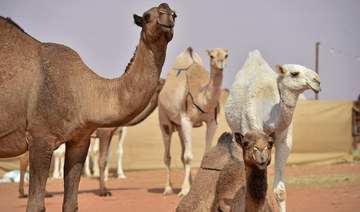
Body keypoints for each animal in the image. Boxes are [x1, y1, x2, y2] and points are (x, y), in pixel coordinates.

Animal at [0, 2, 176, 211]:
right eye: (147, 16)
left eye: (174, 14)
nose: (167, 16)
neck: (85, 94)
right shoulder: (41, 136)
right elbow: (100, 161)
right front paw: (104, 191)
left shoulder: (80, 138)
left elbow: (71, 203)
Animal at [159, 46, 229, 195]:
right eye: (212, 56)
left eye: (226, 55)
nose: (220, 62)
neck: (200, 97)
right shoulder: (186, 120)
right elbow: (188, 157)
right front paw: (185, 189)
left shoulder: (213, 121)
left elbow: (204, 153)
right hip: (164, 120)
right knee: (168, 156)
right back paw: (168, 188)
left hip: (179, 126)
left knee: (182, 153)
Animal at [224, 50, 322, 212]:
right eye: (294, 73)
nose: (317, 81)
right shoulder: (250, 133)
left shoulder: (284, 141)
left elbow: (280, 191)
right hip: (234, 130)